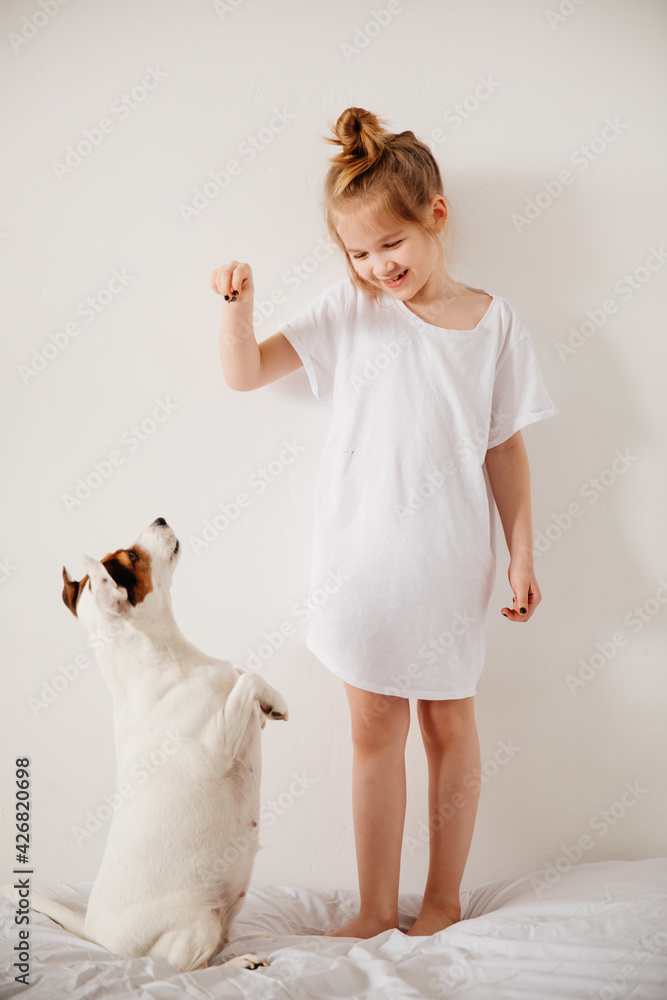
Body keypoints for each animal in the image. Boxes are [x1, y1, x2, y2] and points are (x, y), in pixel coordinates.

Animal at [3, 520, 290, 972]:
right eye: (131, 557)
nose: (159, 519)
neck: (167, 657)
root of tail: (97, 936)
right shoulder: (218, 742)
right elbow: (245, 678)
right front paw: (273, 701)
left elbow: (243, 674)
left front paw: (269, 705)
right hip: (197, 927)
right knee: (189, 969)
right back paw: (240, 962)